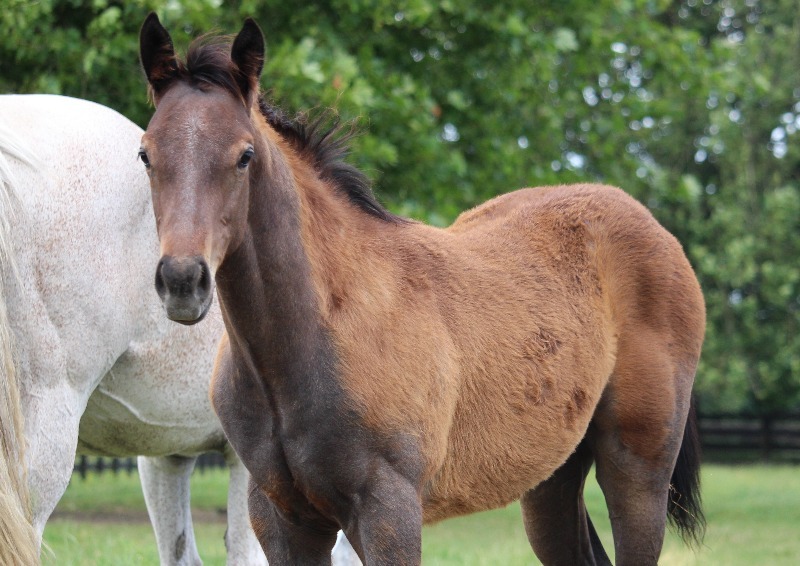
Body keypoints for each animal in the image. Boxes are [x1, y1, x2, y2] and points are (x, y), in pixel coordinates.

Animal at [138, 14, 706, 565]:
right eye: (145, 154)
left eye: (245, 156)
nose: (183, 281)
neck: (314, 336)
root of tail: (652, 224)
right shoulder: (282, 518)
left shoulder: (388, 509)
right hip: (552, 475)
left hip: (637, 468)